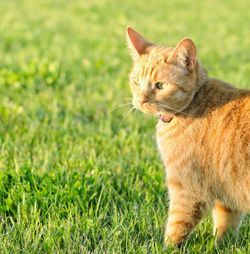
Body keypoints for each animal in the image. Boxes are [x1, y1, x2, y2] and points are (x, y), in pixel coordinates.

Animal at [127, 26, 250, 246]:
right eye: (136, 81)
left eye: (160, 85)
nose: (140, 101)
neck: (193, 104)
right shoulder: (228, 195)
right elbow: (225, 226)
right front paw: (220, 245)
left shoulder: (186, 190)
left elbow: (175, 228)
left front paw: (166, 247)